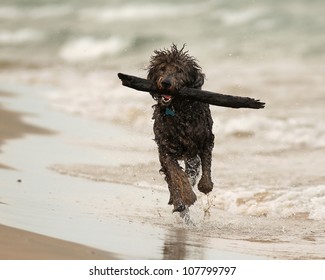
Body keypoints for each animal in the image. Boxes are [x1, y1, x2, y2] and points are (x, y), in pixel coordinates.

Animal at [146, 44, 213, 212]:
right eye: (162, 68)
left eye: (180, 70)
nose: (166, 83)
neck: (178, 109)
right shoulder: (166, 149)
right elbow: (176, 174)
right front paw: (187, 196)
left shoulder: (205, 139)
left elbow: (206, 164)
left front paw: (205, 185)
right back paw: (177, 201)